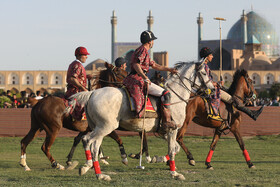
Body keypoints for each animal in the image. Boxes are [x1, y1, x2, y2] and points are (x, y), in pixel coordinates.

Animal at [67, 61, 214, 181]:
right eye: (204, 73)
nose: (212, 89)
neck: (176, 95)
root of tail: (92, 93)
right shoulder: (173, 129)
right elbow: (172, 151)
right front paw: (174, 173)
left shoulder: (165, 131)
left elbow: (175, 148)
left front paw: (158, 159)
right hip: (106, 127)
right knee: (87, 141)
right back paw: (92, 170)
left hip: (99, 128)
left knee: (93, 146)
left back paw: (95, 171)